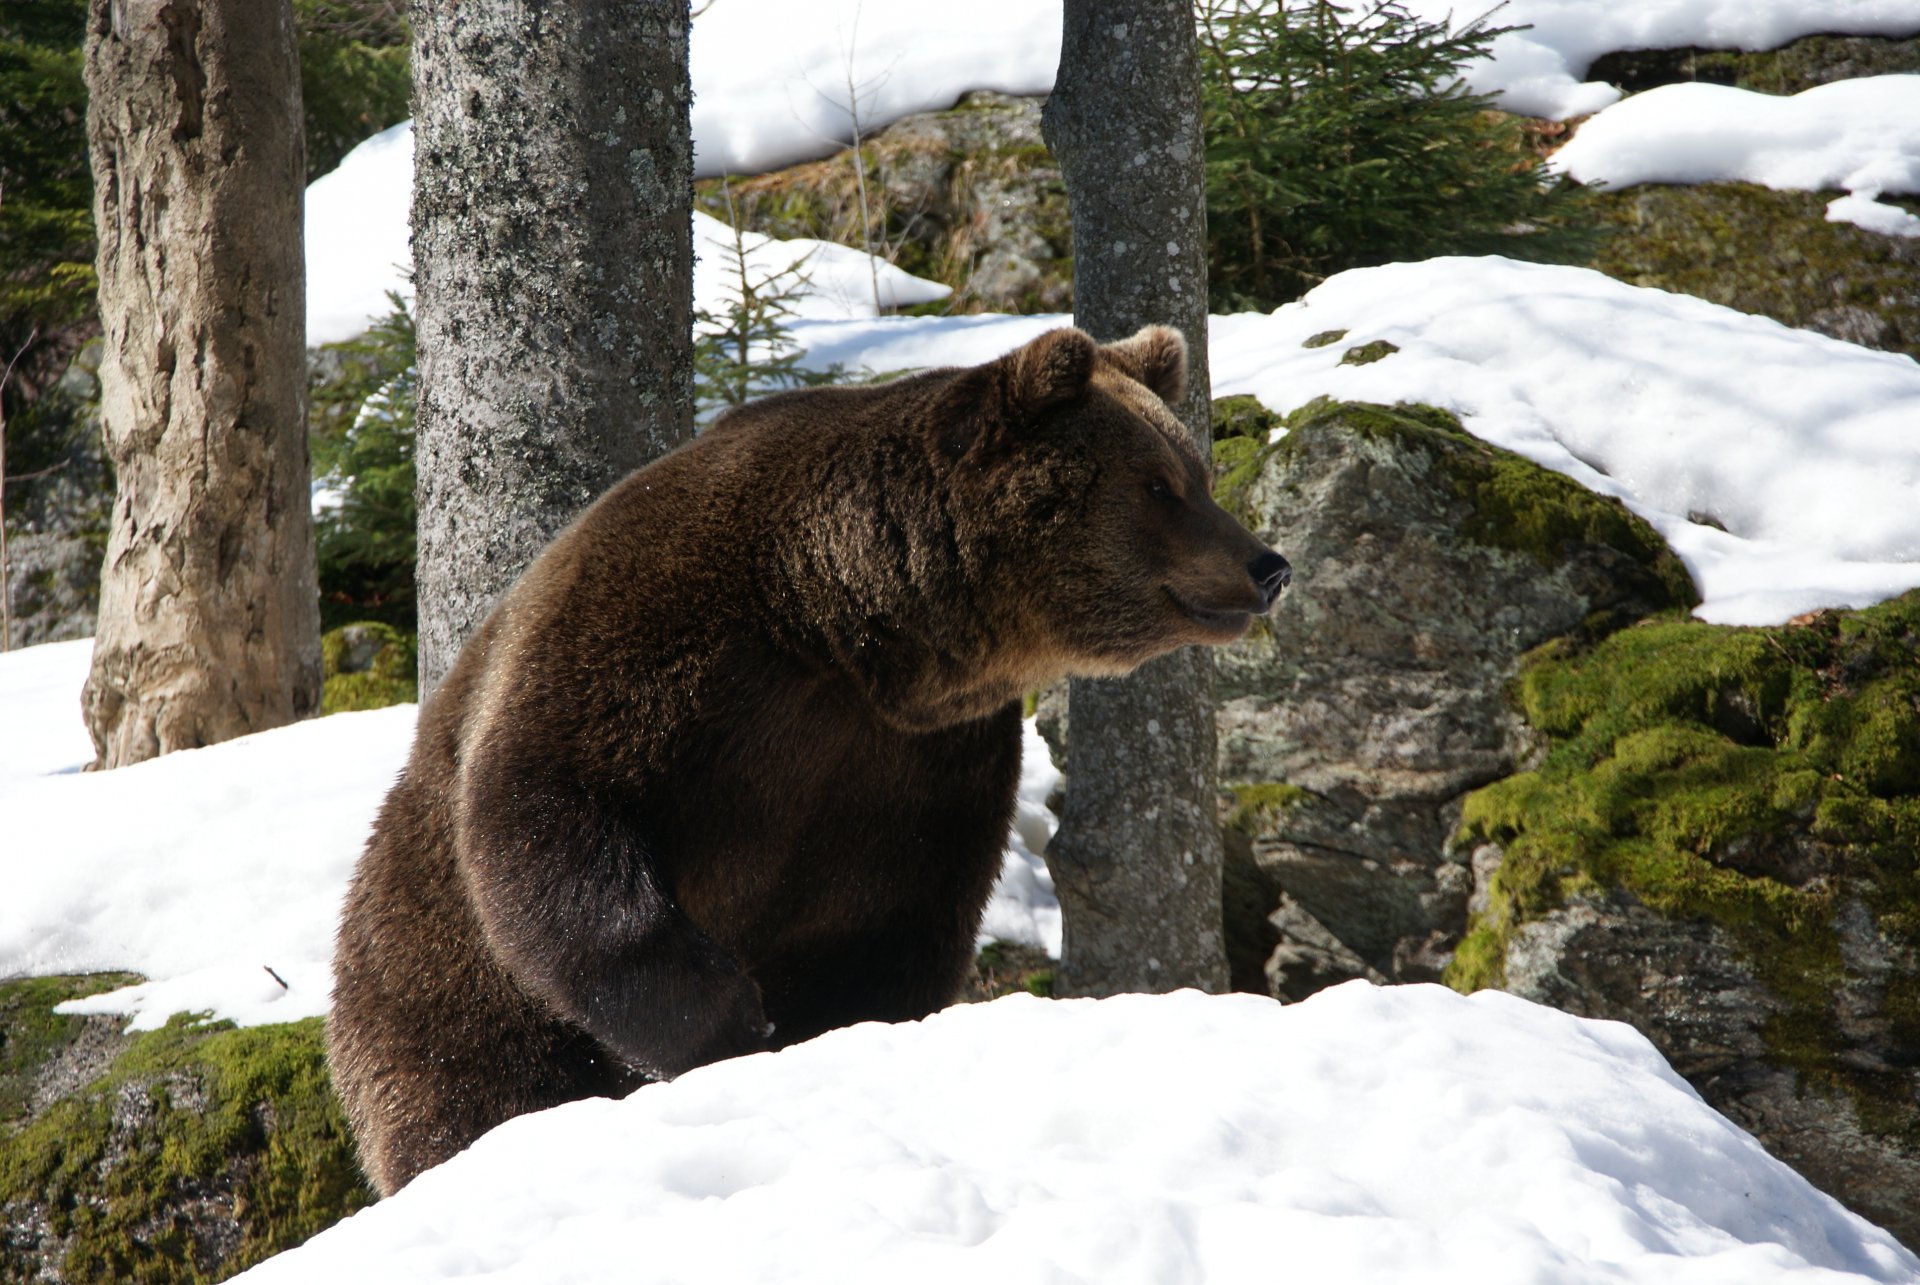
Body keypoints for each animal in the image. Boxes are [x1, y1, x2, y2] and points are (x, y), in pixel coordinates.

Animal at [327, 324, 1292, 1195]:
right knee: (466, 1088)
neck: (841, 620)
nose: (1267, 563)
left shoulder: (914, 764)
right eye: (1160, 483)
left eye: (1197, 473)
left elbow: (891, 924)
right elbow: (549, 809)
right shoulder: (657, 639)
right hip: (431, 978)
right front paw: (727, 1015)